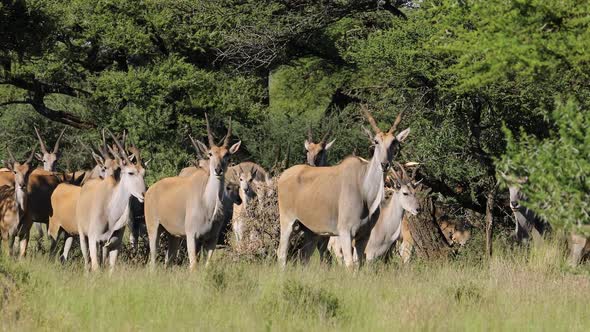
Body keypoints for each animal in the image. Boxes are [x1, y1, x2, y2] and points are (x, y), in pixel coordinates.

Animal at [75, 132, 146, 272]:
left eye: (144, 173)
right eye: (130, 172)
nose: (144, 194)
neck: (110, 211)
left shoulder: (115, 244)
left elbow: (111, 268)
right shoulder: (93, 240)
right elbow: (95, 267)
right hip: (83, 236)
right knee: (87, 262)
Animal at [278, 106, 412, 268]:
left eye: (394, 142)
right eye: (376, 141)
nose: (384, 164)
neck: (364, 189)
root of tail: (283, 175)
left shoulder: (364, 236)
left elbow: (358, 264)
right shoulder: (345, 232)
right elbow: (349, 264)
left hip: (311, 231)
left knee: (304, 257)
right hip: (287, 221)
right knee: (282, 253)